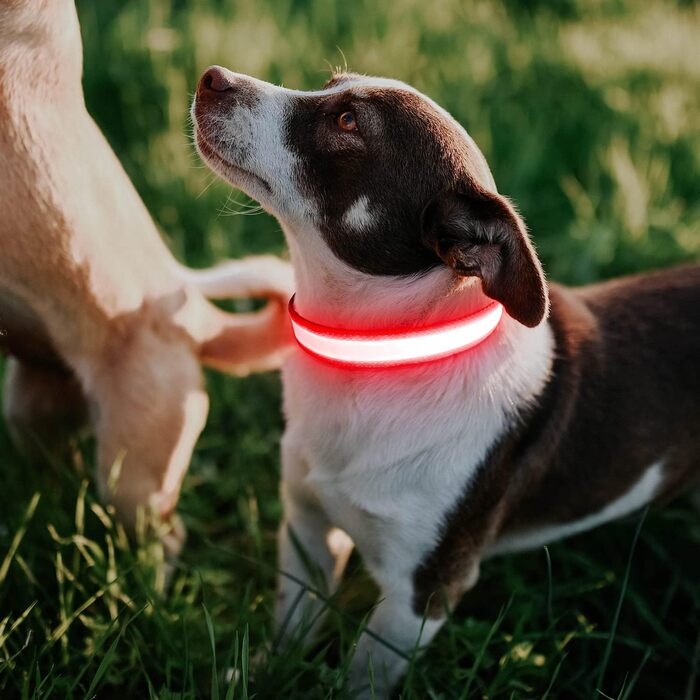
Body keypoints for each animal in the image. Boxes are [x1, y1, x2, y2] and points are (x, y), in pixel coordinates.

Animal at [191, 65, 700, 696]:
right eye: (329, 83)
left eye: (347, 122)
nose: (213, 76)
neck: (373, 361)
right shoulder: (307, 529)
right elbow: (291, 622)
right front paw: (261, 673)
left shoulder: (421, 595)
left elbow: (361, 676)